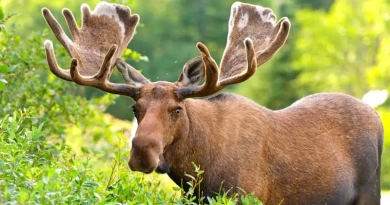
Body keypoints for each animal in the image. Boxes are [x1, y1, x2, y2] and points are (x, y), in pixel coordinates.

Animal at [41, 2, 382, 205]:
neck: (198, 169)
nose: (141, 153)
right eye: (134, 109)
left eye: (177, 109)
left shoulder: (246, 196)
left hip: (370, 191)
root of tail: (376, 116)